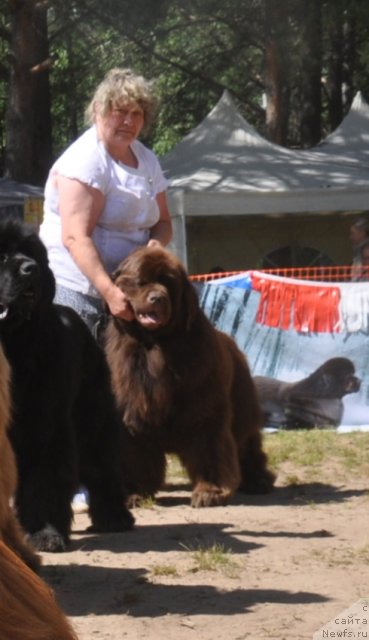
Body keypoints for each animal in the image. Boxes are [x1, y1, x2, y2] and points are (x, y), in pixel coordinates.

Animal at [0, 219, 134, 552]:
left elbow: (44, 480)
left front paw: (44, 533)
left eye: (30, 253)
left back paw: (114, 517)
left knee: (101, 466)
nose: (31, 269)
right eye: (2, 255)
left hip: (92, 418)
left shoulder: (44, 425)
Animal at [103, 245, 274, 504]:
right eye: (142, 282)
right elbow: (136, 453)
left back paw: (258, 481)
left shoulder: (204, 408)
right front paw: (135, 492)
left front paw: (210, 492)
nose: (158, 298)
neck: (156, 344)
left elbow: (209, 447)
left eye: (168, 283)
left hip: (243, 407)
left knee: (247, 443)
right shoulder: (133, 411)